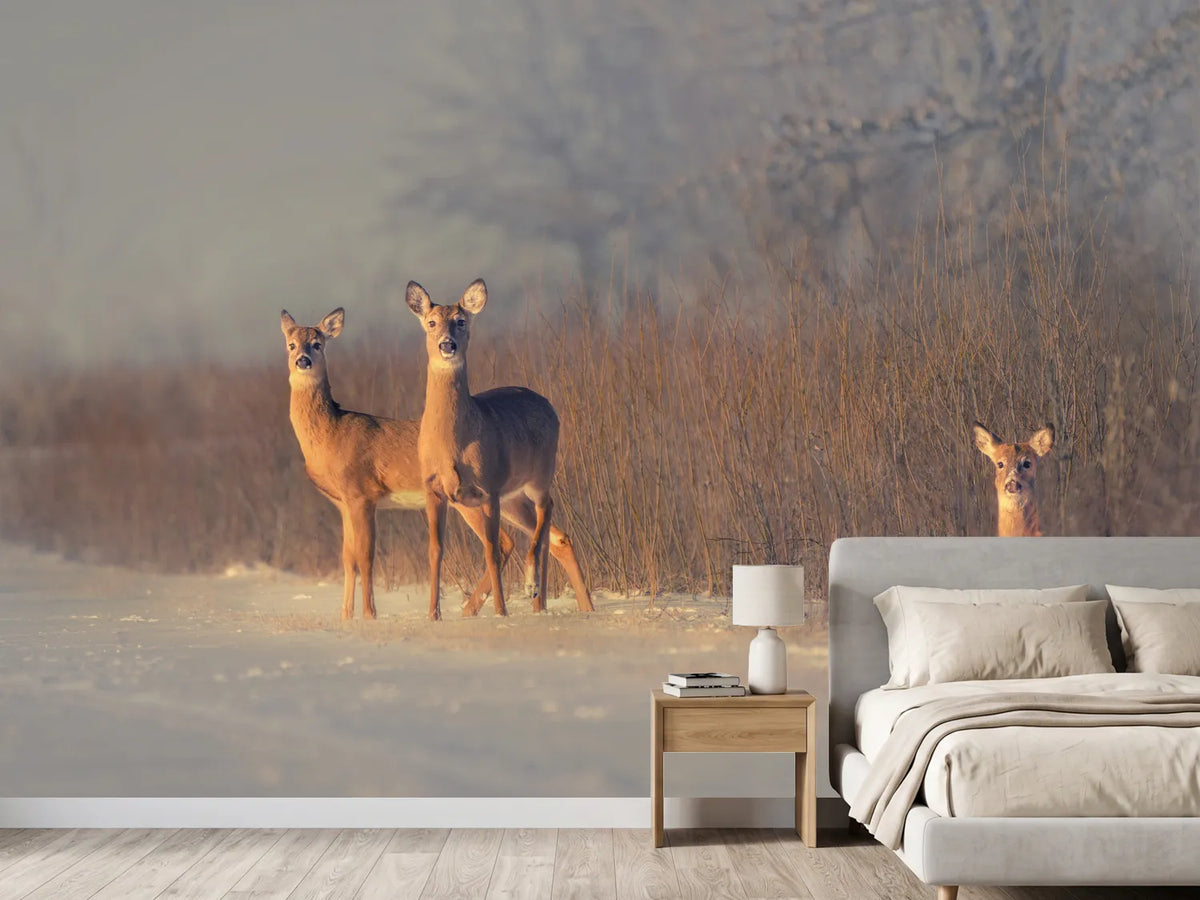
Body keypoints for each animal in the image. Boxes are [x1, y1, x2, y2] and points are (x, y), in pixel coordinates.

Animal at [407, 279, 589, 621]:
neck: (453, 444)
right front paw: (433, 615)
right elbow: (435, 550)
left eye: (461, 321)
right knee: (553, 535)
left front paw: (501, 611)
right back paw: (554, 604)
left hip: (540, 473)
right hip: (512, 497)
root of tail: (549, 405)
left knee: (547, 511)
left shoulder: (488, 487)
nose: (447, 345)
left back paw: (534, 587)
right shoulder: (434, 489)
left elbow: (491, 550)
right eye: (431, 322)